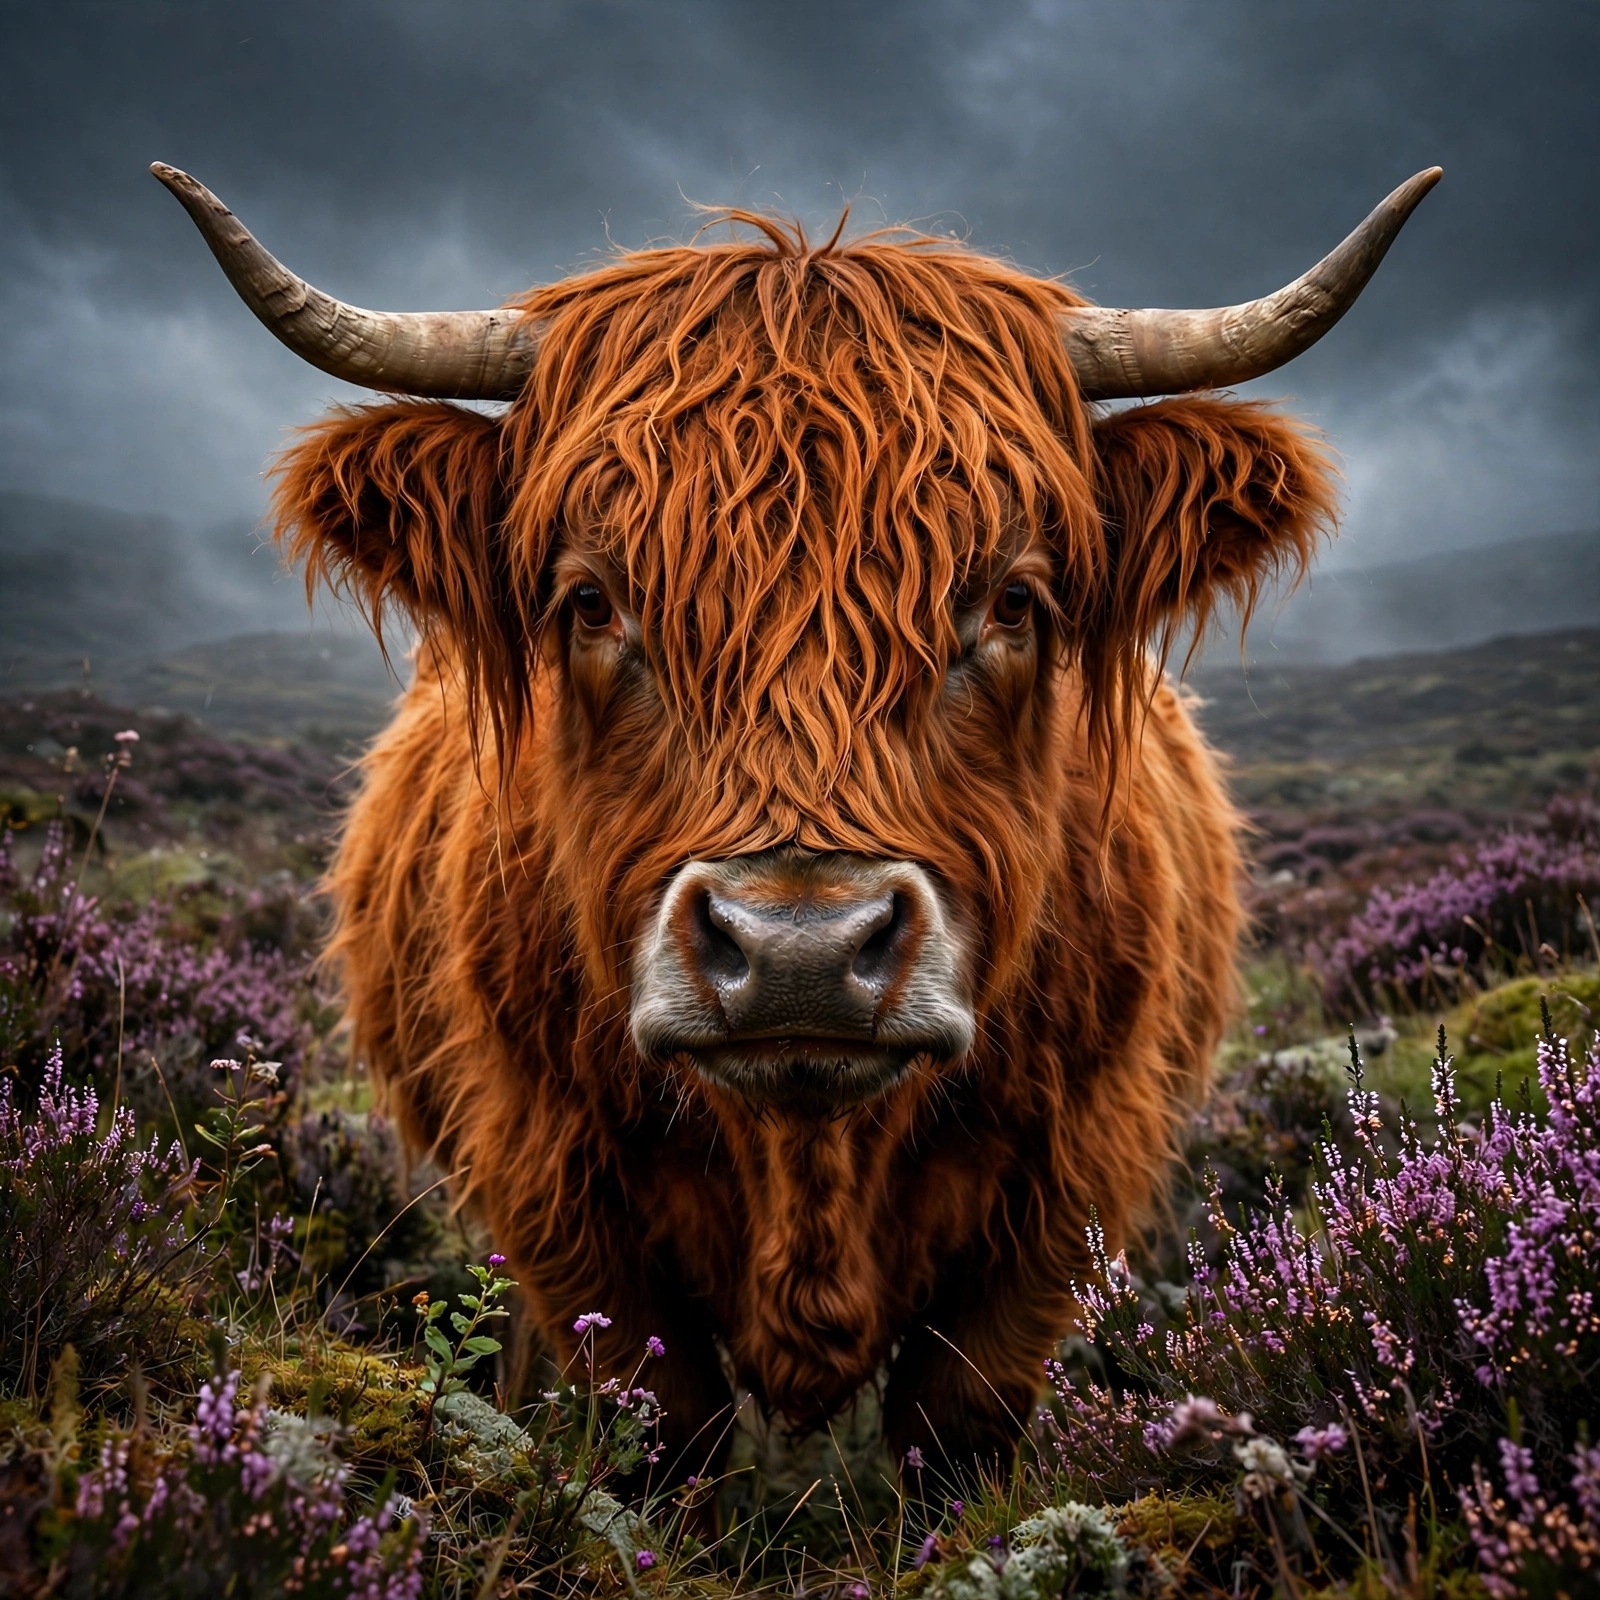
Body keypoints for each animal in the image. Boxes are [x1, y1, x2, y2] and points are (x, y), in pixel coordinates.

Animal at [154, 162, 1438, 1484]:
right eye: (590, 600)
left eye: (1011, 600)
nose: (800, 955)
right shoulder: (552, 1179)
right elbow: (657, 1425)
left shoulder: (1063, 1185)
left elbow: (959, 1421)